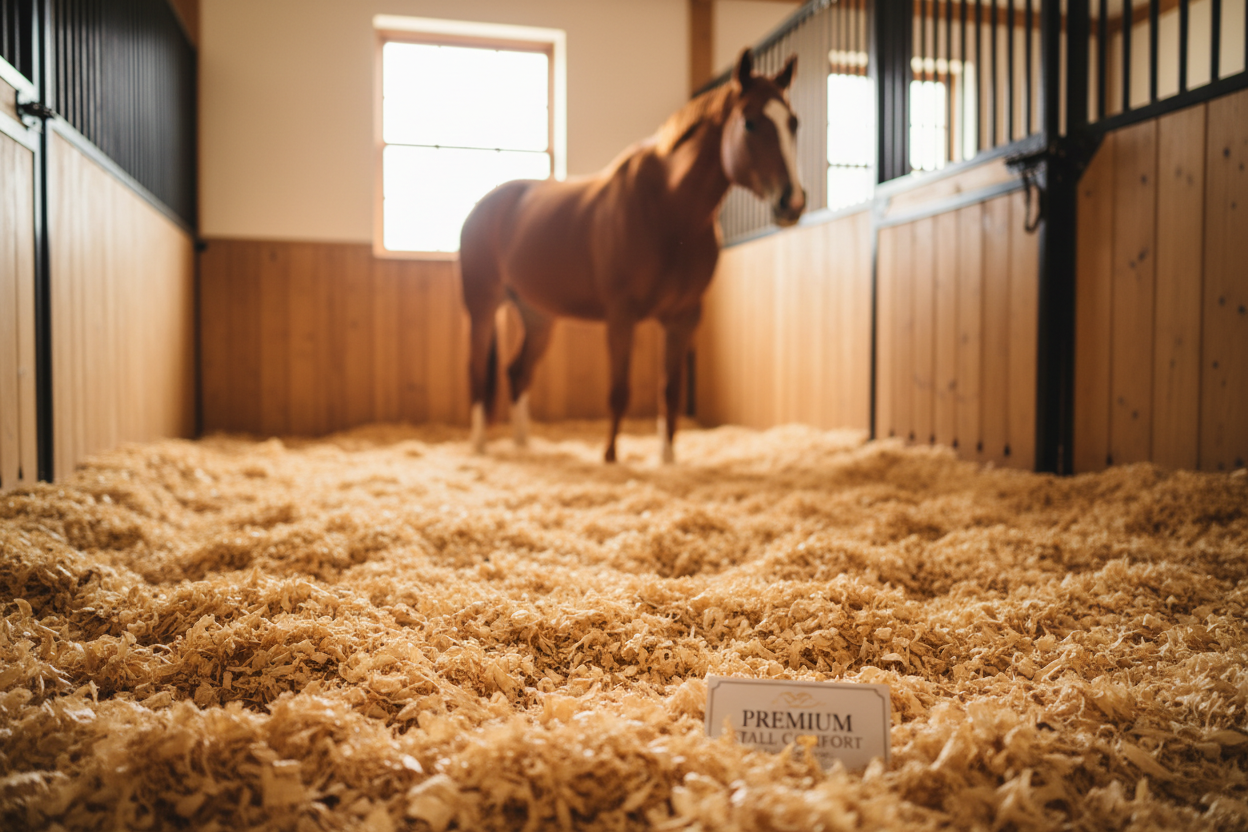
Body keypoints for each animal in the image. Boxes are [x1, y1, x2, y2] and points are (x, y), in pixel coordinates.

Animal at [459, 48, 806, 463]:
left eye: (793, 123)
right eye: (750, 123)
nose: (792, 202)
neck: (669, 211)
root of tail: (484, 205)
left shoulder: (683, 317)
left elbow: (670, 393)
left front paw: (668, 461)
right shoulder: (621, 316)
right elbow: (619, 391)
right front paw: (610, 459)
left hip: (538, 316)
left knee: (517, 373)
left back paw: (523, 445)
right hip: (482, 306)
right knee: (478, 371)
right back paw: (479, 446)